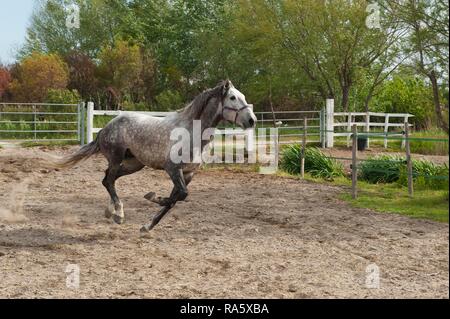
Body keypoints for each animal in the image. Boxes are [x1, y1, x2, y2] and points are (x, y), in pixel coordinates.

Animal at [52, 80, 256, 232]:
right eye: (232, 97)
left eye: (244, 97)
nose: (252, 120)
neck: (192, 133)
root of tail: (106, 127)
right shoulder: (172, 169)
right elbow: (180, 195)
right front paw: (152, 197)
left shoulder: (188, 174)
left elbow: (175, 200)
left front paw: (147, 226)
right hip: (116, 158)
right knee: (109, 180)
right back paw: (119, 214)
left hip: (134, 164)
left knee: (107, 179)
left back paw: (110, 212)